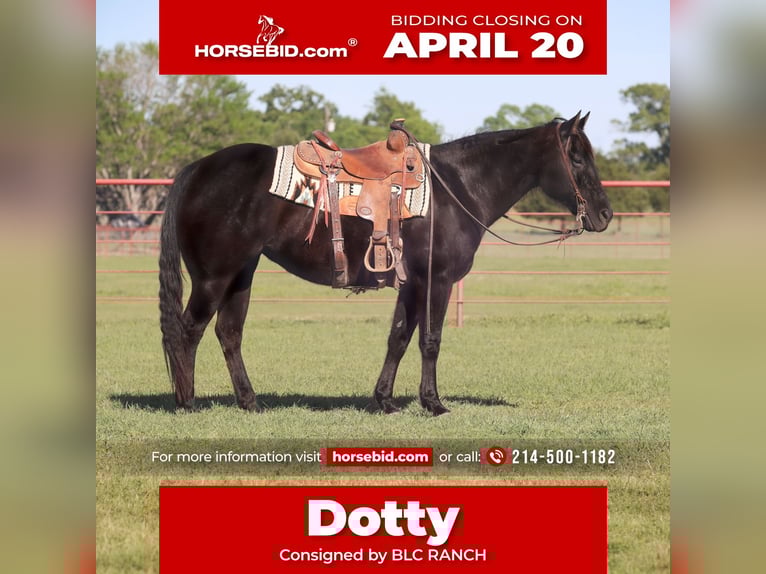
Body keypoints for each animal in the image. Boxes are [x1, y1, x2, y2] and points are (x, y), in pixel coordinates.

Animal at [158, 112, 613, 416]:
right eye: (576, 158)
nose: (605, 214)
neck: (458, 187)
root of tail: (197, 169)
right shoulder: (437, 281)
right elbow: (430, 340)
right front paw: (433, 403)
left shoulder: (411, 284)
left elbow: (398, 338)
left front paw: (385, 400)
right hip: (213, 277)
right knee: (188, 331)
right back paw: (187, 403)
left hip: (241, 274)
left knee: (229, 333)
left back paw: (249, 402)